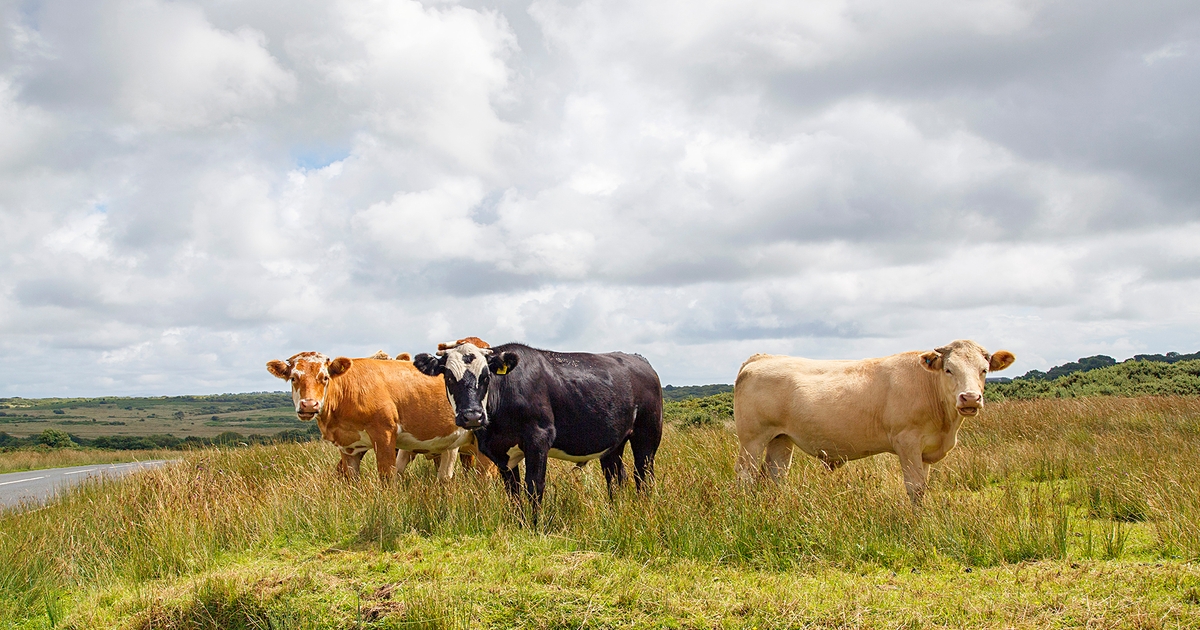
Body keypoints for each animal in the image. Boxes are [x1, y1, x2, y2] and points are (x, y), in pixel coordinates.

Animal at [266, 352, 492, 481]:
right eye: (293, 378)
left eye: (324, 377)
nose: (309, 405)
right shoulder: (348, 448)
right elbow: (350, 479)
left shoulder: (384, 435)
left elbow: (386, 477)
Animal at [413, 340, 663, 521]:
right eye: (448, 377)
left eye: (486, 376)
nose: (472, 415)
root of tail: (638, 359)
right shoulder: (500, 450)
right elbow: (512, 490)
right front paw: (519, 523)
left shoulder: (538, 439)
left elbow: (534, 485)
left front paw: (535, 526)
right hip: (613, 443)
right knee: (616, 476)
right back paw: (615, 512)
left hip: (647, 435)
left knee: (643, 474)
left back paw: (644, 510)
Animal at [733, 339, 1015, 504]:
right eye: (949, 369)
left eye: (984, 370)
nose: (970, 398)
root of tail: (762, 357)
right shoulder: (907, 442)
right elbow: (915, 488)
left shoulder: (925, 450)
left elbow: (924, 488)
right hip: (752, 439)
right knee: (745, 476)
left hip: (781, 439)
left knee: (775, 476)